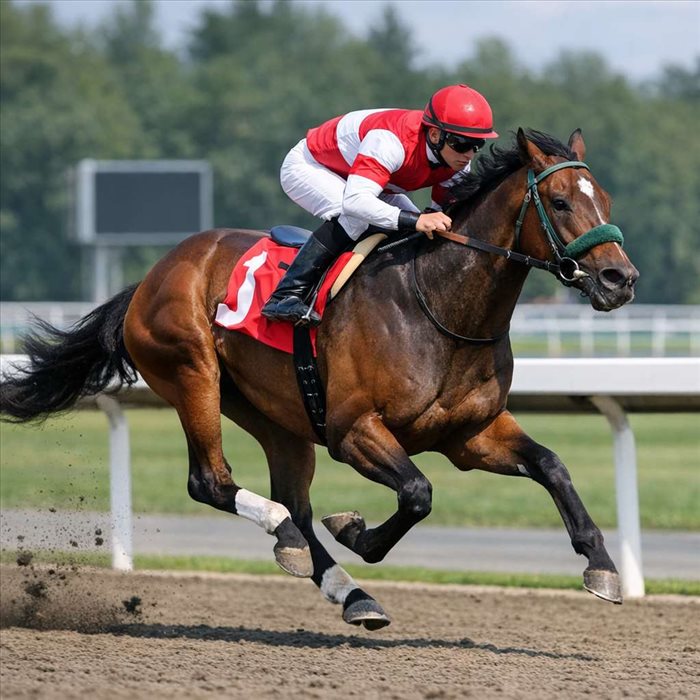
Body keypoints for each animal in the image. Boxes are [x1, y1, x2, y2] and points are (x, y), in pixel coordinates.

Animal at [1, 128, 638, 630]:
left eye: (605, 198)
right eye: (560, 201)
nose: (619, 278)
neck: (438, 305)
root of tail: (152, 275)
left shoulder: (469, 435)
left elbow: (552, 465)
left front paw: (601, 566)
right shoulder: (352, 430)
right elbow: (417, 493)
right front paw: (356, 529)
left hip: (274, 414)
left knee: (295, 506)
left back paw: (348, 592)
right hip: (191, 372)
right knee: (213, 483)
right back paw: (286, 536)